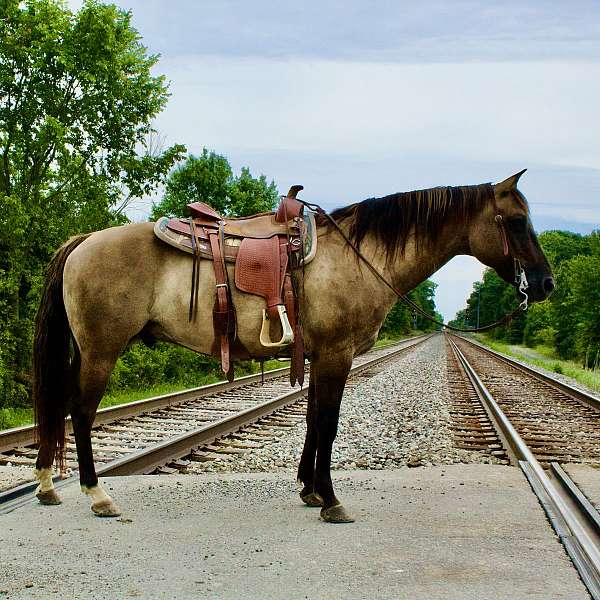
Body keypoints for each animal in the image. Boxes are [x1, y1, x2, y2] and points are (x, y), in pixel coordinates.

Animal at [31, 169, 552, 520]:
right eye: (517, 220)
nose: (545, 284)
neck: (359, 257)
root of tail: (82, 241)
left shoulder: (321, 355)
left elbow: (313, 420)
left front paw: (310, 490)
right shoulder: (338, 355)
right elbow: (329, 423)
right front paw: (331, 499)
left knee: (58, 407)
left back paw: (46, 485)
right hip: (101, 351)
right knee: (79, 412)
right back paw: (96, 494)